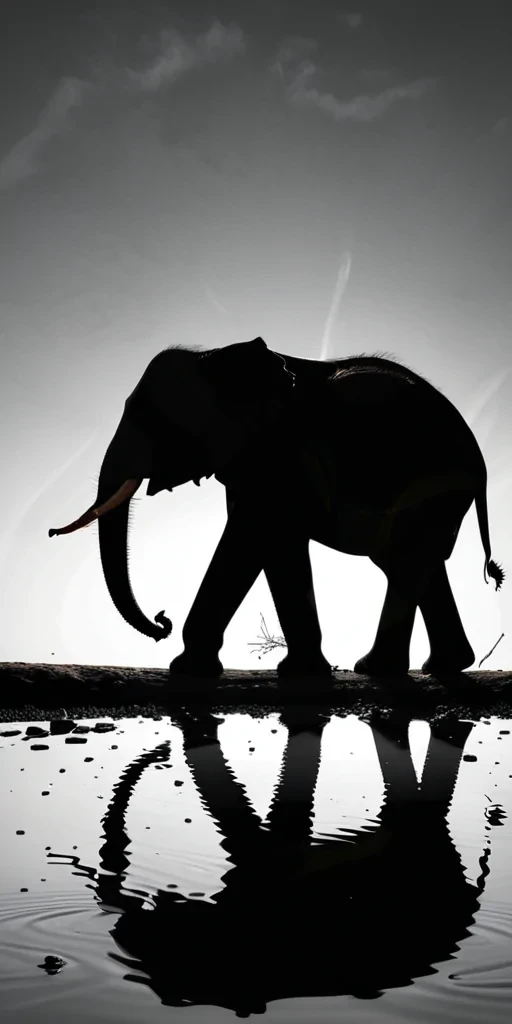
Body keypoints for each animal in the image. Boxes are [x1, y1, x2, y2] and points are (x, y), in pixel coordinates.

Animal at [49, 337, 504, 677]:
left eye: (155, 421)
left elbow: (256, 538)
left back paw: (376, 668)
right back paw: (435, 666)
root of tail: (480, 463)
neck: (217, 357)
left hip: (430, 482)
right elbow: (267, 544)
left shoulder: (282, 458)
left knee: (407, 560)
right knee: (409, 561)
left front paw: (193, 669)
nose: (162, 621)